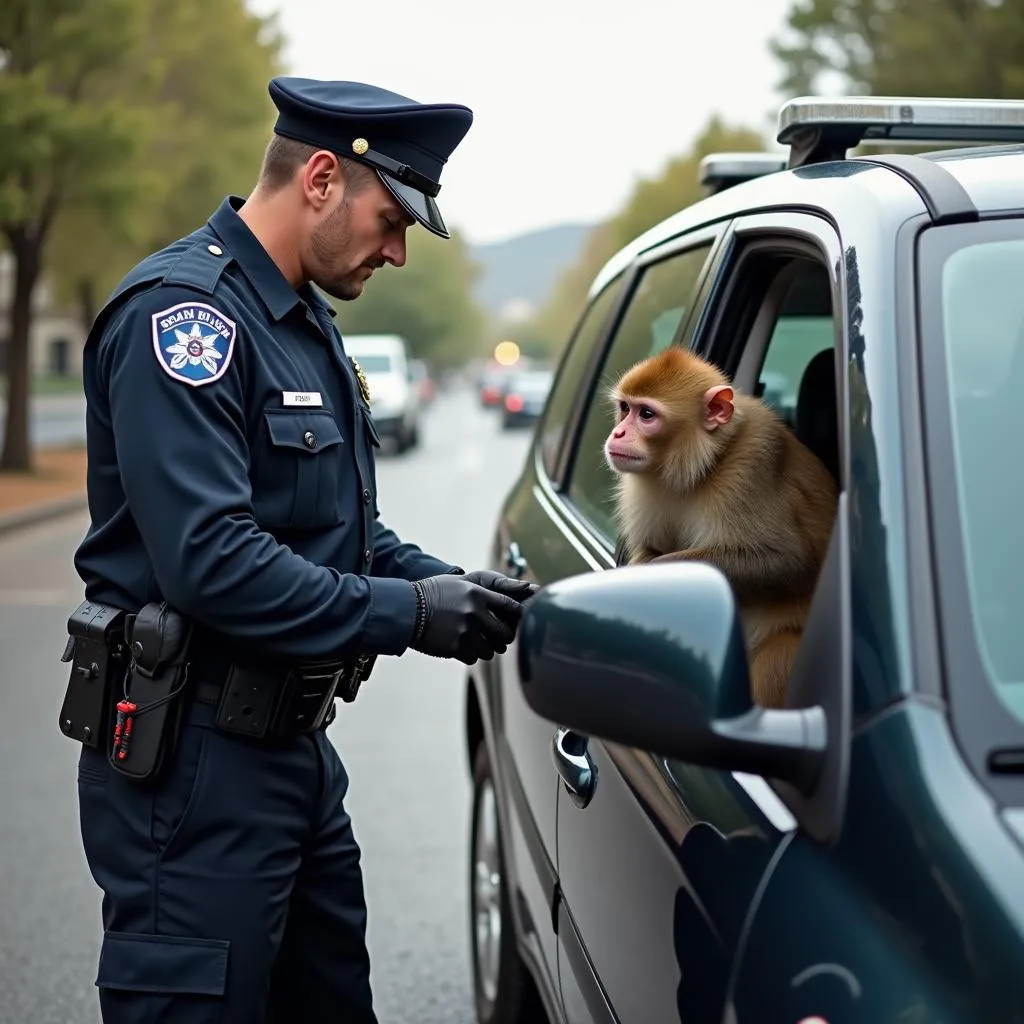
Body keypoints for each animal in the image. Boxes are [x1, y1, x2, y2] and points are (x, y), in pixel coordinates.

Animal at [602, 348, 835, 708]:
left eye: (647, 414)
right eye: (625, 408)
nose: (618, 434)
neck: (705, 463)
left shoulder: (752, 468)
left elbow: (787, 560)